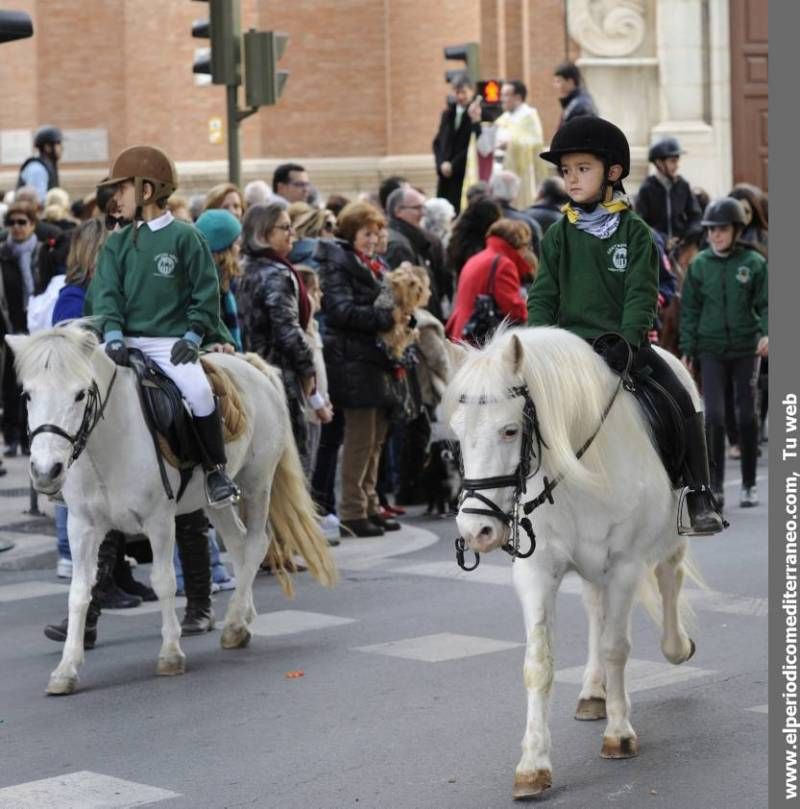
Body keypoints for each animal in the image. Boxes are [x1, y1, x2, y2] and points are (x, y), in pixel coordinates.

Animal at [3, 322, 334, 696]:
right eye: (28, 395)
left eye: (79, 394)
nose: (46, 472)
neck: (110, 442)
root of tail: (252, 364)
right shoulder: (82, 526)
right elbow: (79, 591)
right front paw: (66, 668)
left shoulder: (159, 521)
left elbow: (163, 582)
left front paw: (171, 653)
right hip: (213, 501)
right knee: (238, 543)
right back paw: (241, 616)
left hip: (257, 483)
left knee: (256, 543)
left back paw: (234, 624)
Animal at [446, 326, 704, 800]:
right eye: (456, 434)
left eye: (509, 430)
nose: (477, 531)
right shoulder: (536, 573)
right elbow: (539, 663)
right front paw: (532, 765)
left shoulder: (624, 566)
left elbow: (617, 647)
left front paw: (619, 735)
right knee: (595, 610)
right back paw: (592, 692)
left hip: (671, 536)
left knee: (669, 577)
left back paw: (675, 648)